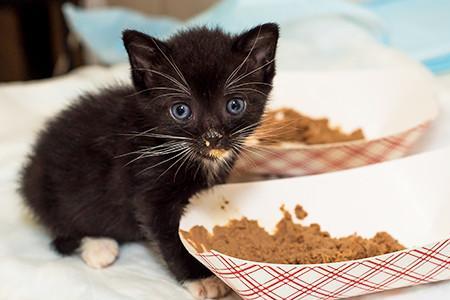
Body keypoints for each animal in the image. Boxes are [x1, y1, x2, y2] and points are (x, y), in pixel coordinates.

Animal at [20, 24, 278, 300]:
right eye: (181, 110)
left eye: (235, 105)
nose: (213, 138)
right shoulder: (147, 187)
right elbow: (168, 234)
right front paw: (201, 277)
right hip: (48, 192)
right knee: (61, 232)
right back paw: (99, 246)